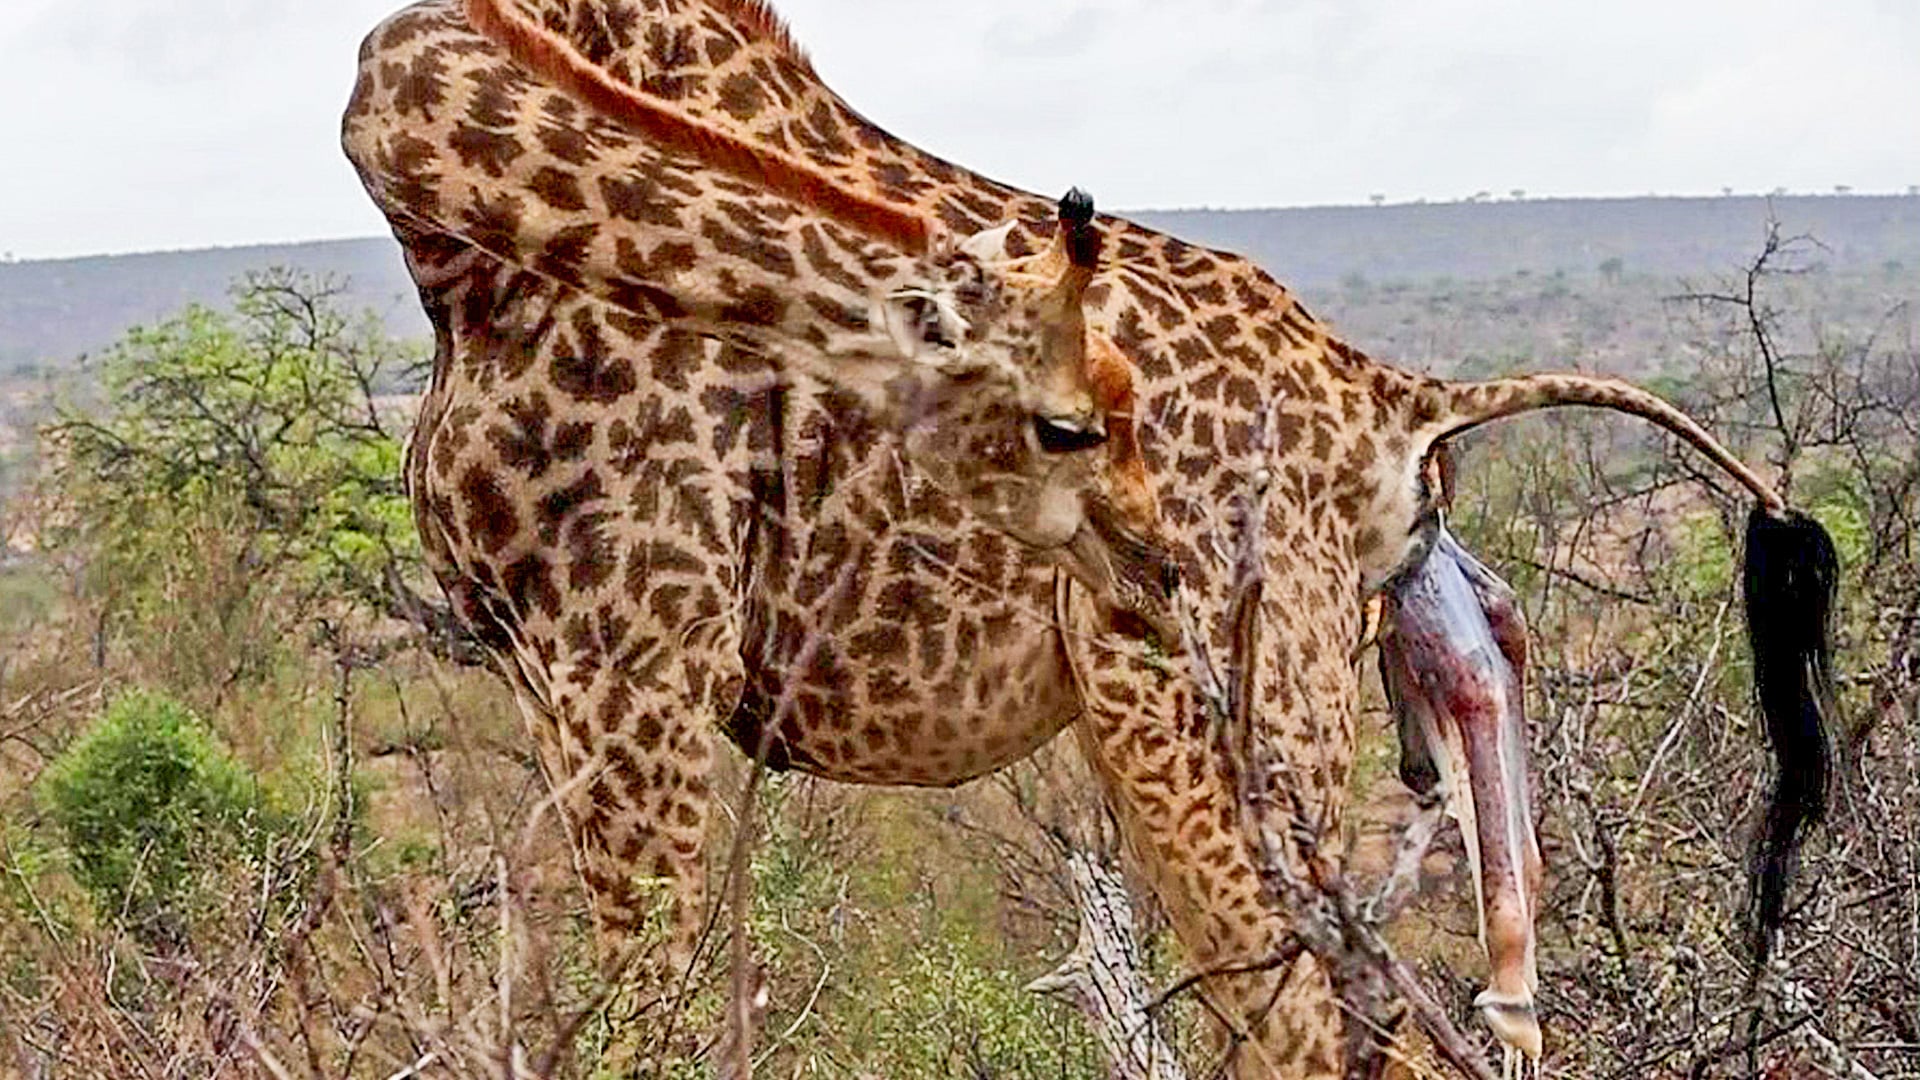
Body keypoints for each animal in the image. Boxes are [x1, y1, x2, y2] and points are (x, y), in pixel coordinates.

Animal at [342, 1, 1842, 1075]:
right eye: (1070, 421)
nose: (1161, 552)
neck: (440, 209)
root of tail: (1391, 402)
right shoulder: (556, 673)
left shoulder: (632, 662)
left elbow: (641, 1023)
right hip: (1350, 643)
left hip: (1204, 715)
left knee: (1336, 1029)